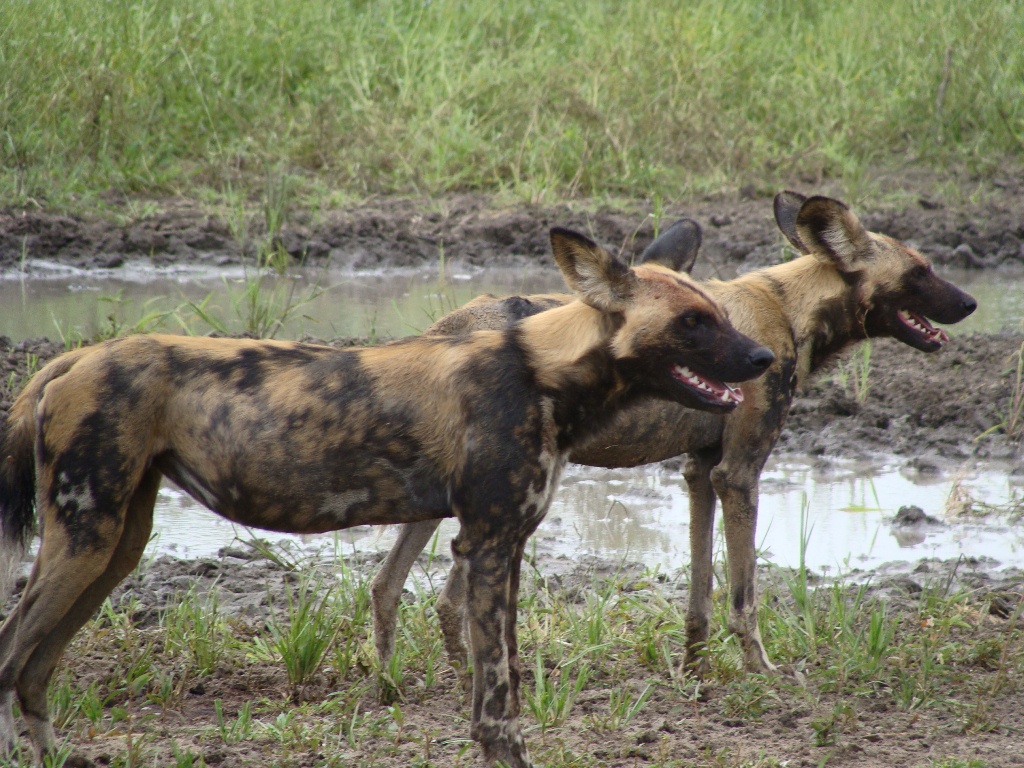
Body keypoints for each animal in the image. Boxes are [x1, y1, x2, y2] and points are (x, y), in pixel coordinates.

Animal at [0, 228, 770, 768]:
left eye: (718, 313)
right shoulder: (486, 544)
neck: (544, 372)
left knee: (34, 670)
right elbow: (496, 706)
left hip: (114, 551)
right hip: (84, 541)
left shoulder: (506, 548)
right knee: (11, 657)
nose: (765, 358)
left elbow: (506, 676)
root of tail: (75, 358)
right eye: (694, 321)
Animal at [368, 191, 974, 684]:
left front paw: (694, 668)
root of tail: (448, 328)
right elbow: (744, 597)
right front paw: (762, 669)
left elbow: (700, 593)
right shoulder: (739, 475)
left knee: (394, 585)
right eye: (921, 270)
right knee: (443, 594)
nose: (969, 303)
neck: (788, 309)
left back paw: (417, 678)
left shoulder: (700, 472)